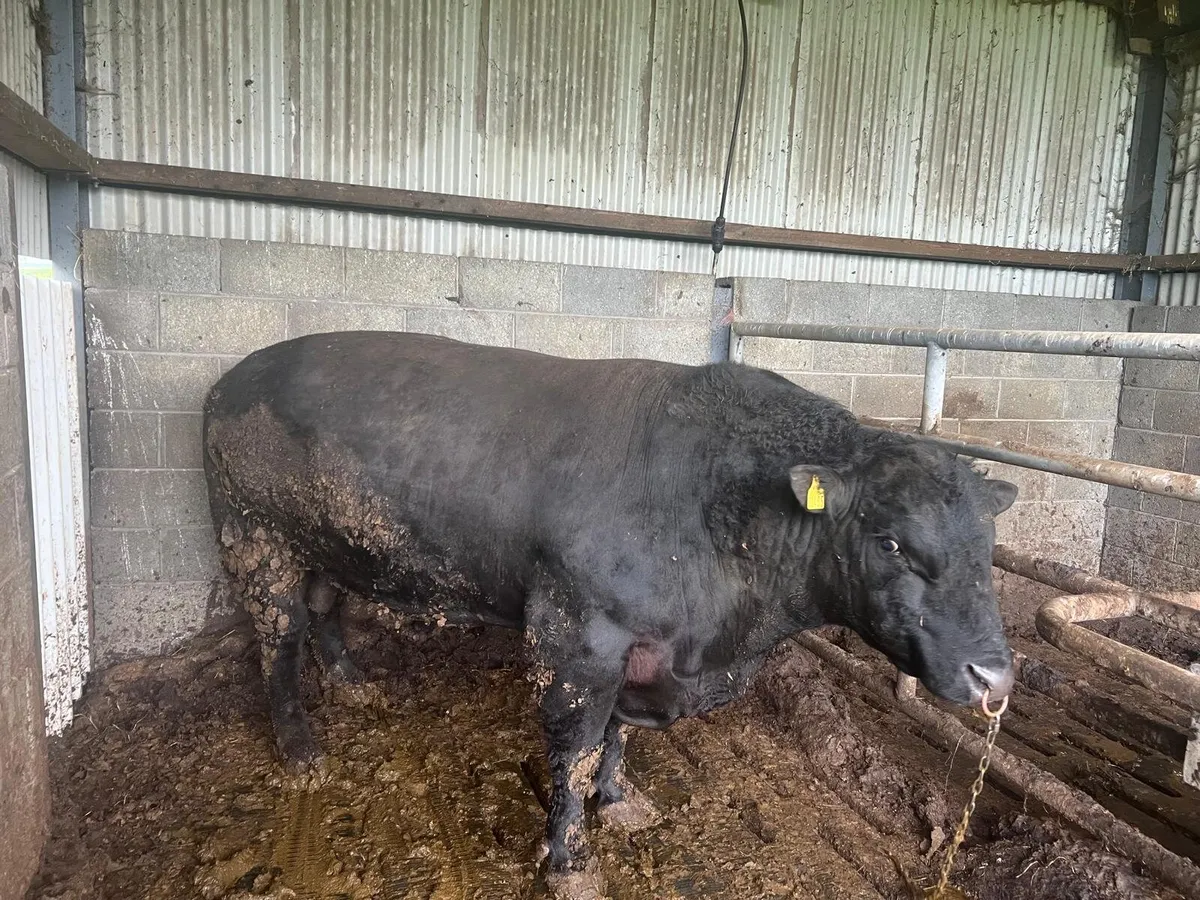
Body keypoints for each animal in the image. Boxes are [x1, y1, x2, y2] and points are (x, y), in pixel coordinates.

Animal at [202, 331, 1017, 896]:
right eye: (892, 541)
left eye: (987, 547)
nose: (995, 676)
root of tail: (235, 374)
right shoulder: (577, 637)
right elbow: (575, 747)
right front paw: (569, 861)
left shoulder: (644, 649)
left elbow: (617, 736)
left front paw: (620, 801)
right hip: (255, 537)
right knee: (277, 638)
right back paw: (300, 750)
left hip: (331, 540)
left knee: (323, 607)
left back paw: (352, 683)